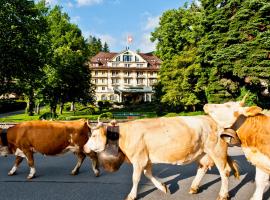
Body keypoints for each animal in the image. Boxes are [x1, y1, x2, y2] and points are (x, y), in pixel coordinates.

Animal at [84, 116, 238, 199]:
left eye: (94, 135)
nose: (84, 148)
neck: (124, 136)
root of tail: (213, 120)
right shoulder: (146, 158)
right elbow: (148, 174)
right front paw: (163, 187)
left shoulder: (139, 158)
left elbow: (136, 178)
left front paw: (132, 195)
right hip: (203, 153)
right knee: (203, 168)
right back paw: (194, 188)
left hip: (217, 151)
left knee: (224, 172)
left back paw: (223, 195)